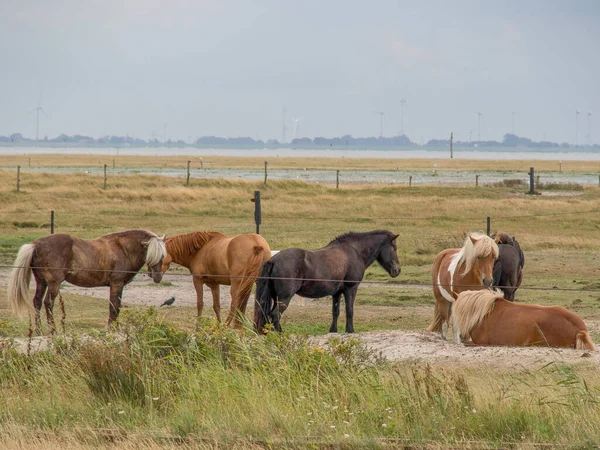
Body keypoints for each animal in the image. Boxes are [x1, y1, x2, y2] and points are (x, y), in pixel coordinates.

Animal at [7, 230, 166, 332]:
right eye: (151, 255)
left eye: (163, 256)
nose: (158, 277)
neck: (123, 249)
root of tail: (36, 244)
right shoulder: (116, 284)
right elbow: (114, 306)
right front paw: (112, 329)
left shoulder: (119, 286)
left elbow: (117, 306)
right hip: (54, 284)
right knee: (48, 303)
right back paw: (53, 331)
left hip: (41, 282)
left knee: (37, 302)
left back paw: (39, 331)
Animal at [253, 229, 398, 334]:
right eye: (394, 248)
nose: (397, 270)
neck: (353, 251)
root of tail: (273, 260)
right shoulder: (351, 289)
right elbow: (349, 310)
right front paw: (350, 330)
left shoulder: (336, 293)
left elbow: (335, 311)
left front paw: (333, 330)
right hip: (284, 298)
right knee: (275, 314)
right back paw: (279, 333)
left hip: (274, 297)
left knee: (267, 314)